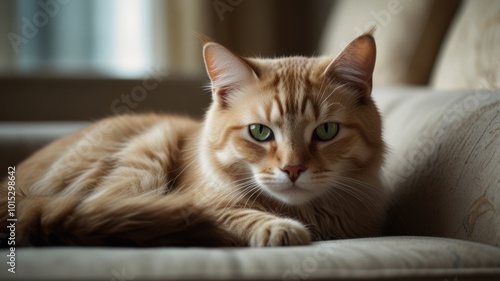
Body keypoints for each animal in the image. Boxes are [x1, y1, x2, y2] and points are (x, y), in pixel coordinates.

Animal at [0, 32, 386, 245]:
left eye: (326, 131)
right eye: (260, 132)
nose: (292, 170)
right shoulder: (205, 199)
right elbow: (236, 215)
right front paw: (280, 228)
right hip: (145, 155)